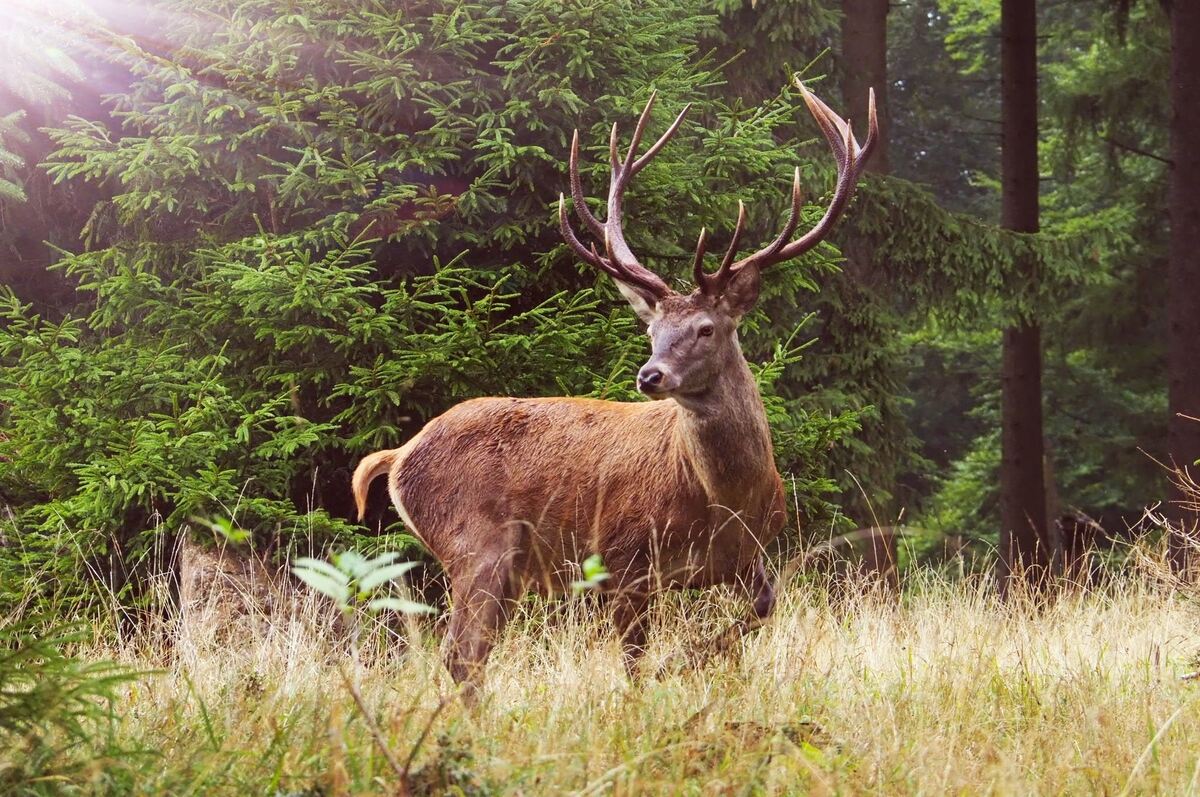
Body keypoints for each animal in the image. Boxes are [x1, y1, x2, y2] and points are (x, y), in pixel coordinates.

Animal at [350, 78, 878, 696]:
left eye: (705, 328)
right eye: (651, 330)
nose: (650, 375)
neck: (727, 500)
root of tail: (399, 455)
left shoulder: (745, 558)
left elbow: (762, 609)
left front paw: (688, 661)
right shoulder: (624, 559)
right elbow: (634, 662)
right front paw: (658, 681)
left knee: (469, 654)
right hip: (476, 542)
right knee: (461, 654)